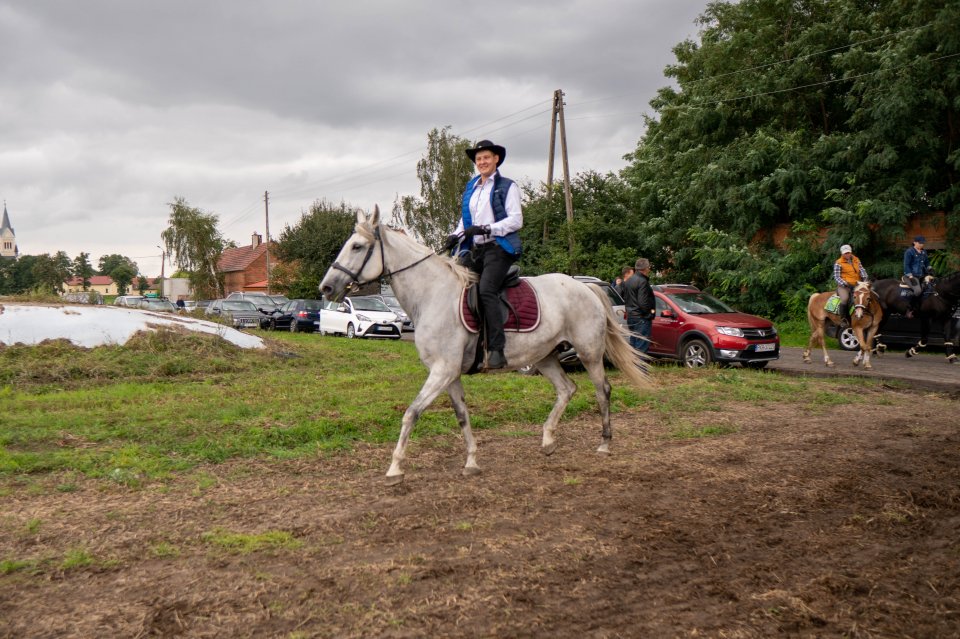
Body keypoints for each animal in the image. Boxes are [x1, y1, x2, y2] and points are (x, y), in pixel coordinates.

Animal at [318, 209, 648, 484]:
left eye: (357, 247)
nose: (326, 288)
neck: (432, 295)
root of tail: (587, 287)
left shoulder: (442, 371)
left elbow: (411, 413)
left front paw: (395, 468)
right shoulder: (449, 373)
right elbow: (462, 416)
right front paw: (472, 462)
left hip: (589, 352)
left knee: (602, 390)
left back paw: (604, 444)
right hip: (544, 357)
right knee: (567, 389)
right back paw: (547, 441)